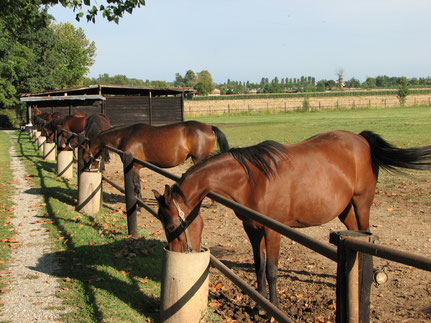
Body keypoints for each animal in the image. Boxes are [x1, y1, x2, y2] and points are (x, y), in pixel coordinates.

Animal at [81, 121, 230, 200]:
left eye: (85, 155)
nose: (87, 169)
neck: (125, 136)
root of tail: (209, 126)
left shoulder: (134, 166)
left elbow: (136, 185)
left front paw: (139, 204)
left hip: (199, 159)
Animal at [153, 130, 431, 308]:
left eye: (172, 225)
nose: (176, 252)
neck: (252, 180)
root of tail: (361, 139)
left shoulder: (272, 231)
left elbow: (272, 269)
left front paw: (273, 306)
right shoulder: (252, 229)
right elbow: (259, 265)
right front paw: (259, 303)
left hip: (362, 203)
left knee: (366, 234)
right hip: (345, 210)